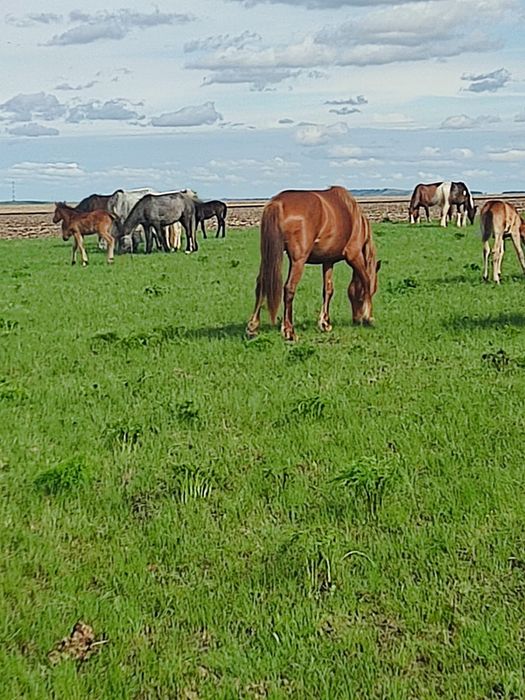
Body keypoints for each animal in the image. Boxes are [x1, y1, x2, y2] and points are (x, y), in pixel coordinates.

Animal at [246, 186, 380, 341]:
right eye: (374, 289)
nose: (356, 319)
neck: (353, 216)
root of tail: (278, 203)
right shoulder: (354, 255)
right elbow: (366, 280)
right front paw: (369, 317)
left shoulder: (328, 261)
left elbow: (328, 289)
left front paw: (325, 323)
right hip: (298, 260)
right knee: (289, 288)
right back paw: (289, 331)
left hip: (267, 257)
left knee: (261, 284)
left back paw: (253, 326)